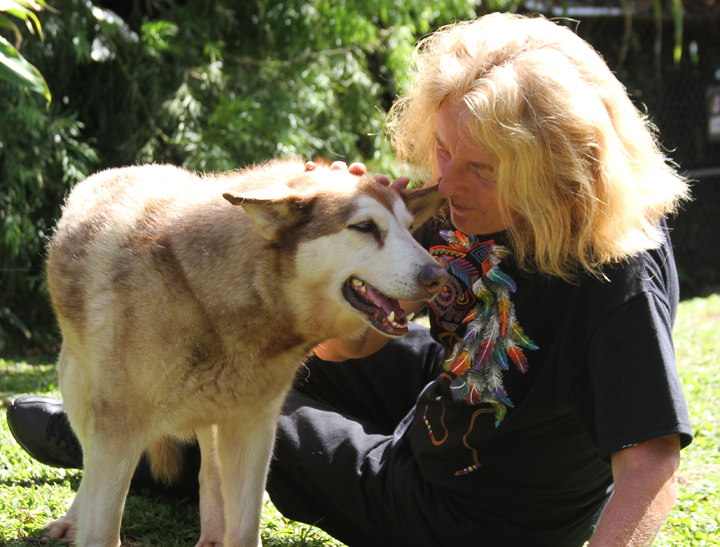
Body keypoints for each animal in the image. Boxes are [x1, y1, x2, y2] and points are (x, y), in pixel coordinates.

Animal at [42, 159, 448, 547]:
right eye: (365, 227)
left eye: (409, 228)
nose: (439, 277)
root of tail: (123, 169)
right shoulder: (119, 432)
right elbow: (102, 529)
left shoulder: (253, 430)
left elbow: (244, 530)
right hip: (79, 397)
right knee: (89, 464)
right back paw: (72, 522)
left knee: (208, 471)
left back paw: (211, 535)